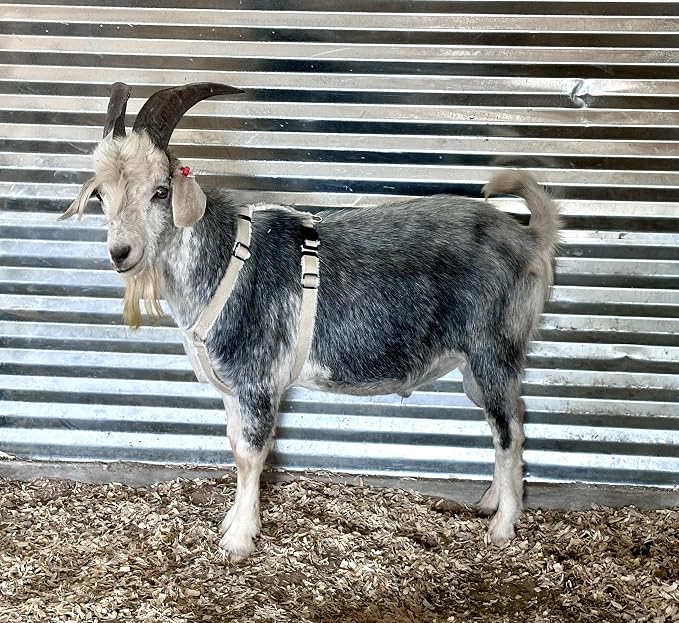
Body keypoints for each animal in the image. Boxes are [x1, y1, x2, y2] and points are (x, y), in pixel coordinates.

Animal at [60, 82, 561, 560]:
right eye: (101, 194)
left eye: (160, 191)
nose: (120, 253)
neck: (225, 260)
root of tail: (528, 238)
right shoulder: (231, 387)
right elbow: (233, 445)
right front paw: (230, 522)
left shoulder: (258, 379)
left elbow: (251, 455)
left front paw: (239, 540)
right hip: (475, 366)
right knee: (505, 424)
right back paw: (490, 502)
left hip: (494, 349)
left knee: (510, 431)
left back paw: (502, 528)